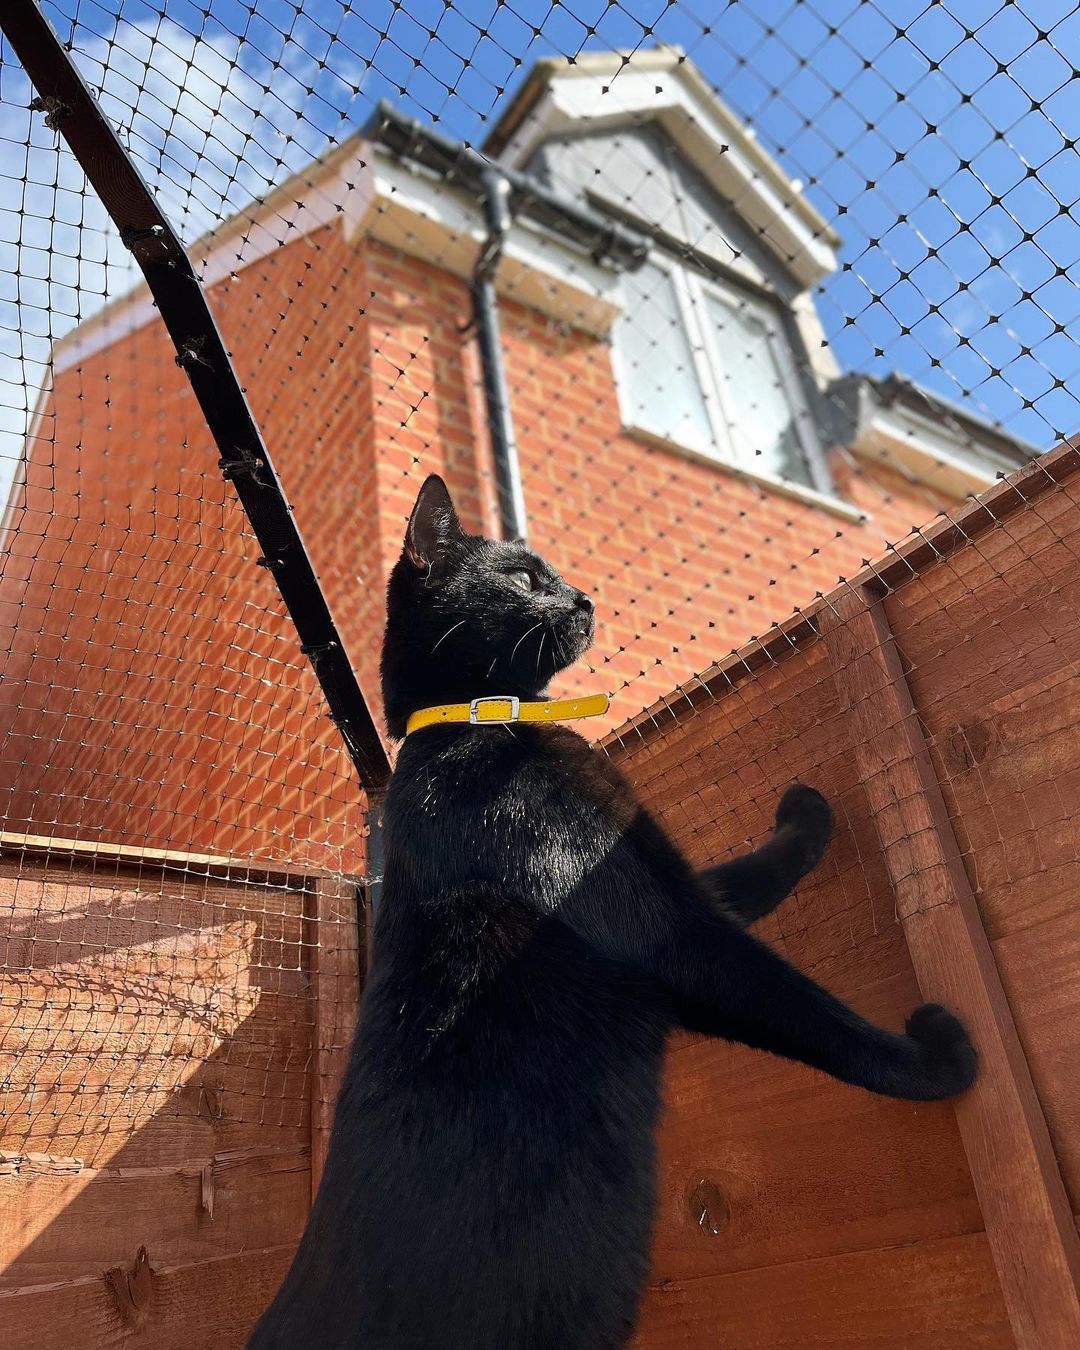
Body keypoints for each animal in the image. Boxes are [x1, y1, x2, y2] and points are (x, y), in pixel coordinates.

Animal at [253, 477, 977, 1350]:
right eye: (523, 578)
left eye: (556, 575)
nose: (583, 598)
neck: (475, 727)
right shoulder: (662, 927)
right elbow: (805, 1008)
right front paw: (933, 1060)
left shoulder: (652, 870)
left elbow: (744, 878)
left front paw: (806, 820)